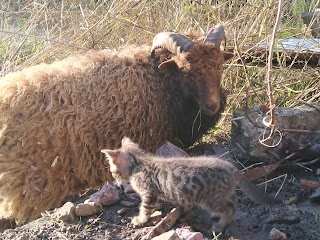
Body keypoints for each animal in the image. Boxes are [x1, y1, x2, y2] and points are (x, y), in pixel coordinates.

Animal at [101, 138, 282, 233]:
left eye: (114, 172)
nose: (118, 185)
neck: (140, 163)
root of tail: (231, 167)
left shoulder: (148, 193)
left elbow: (145, 209)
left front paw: (139, 219)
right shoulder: (153, 193)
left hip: (208, 198)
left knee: (229, 208)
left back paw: (220, 225)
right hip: (224, 193)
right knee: (233, 203)